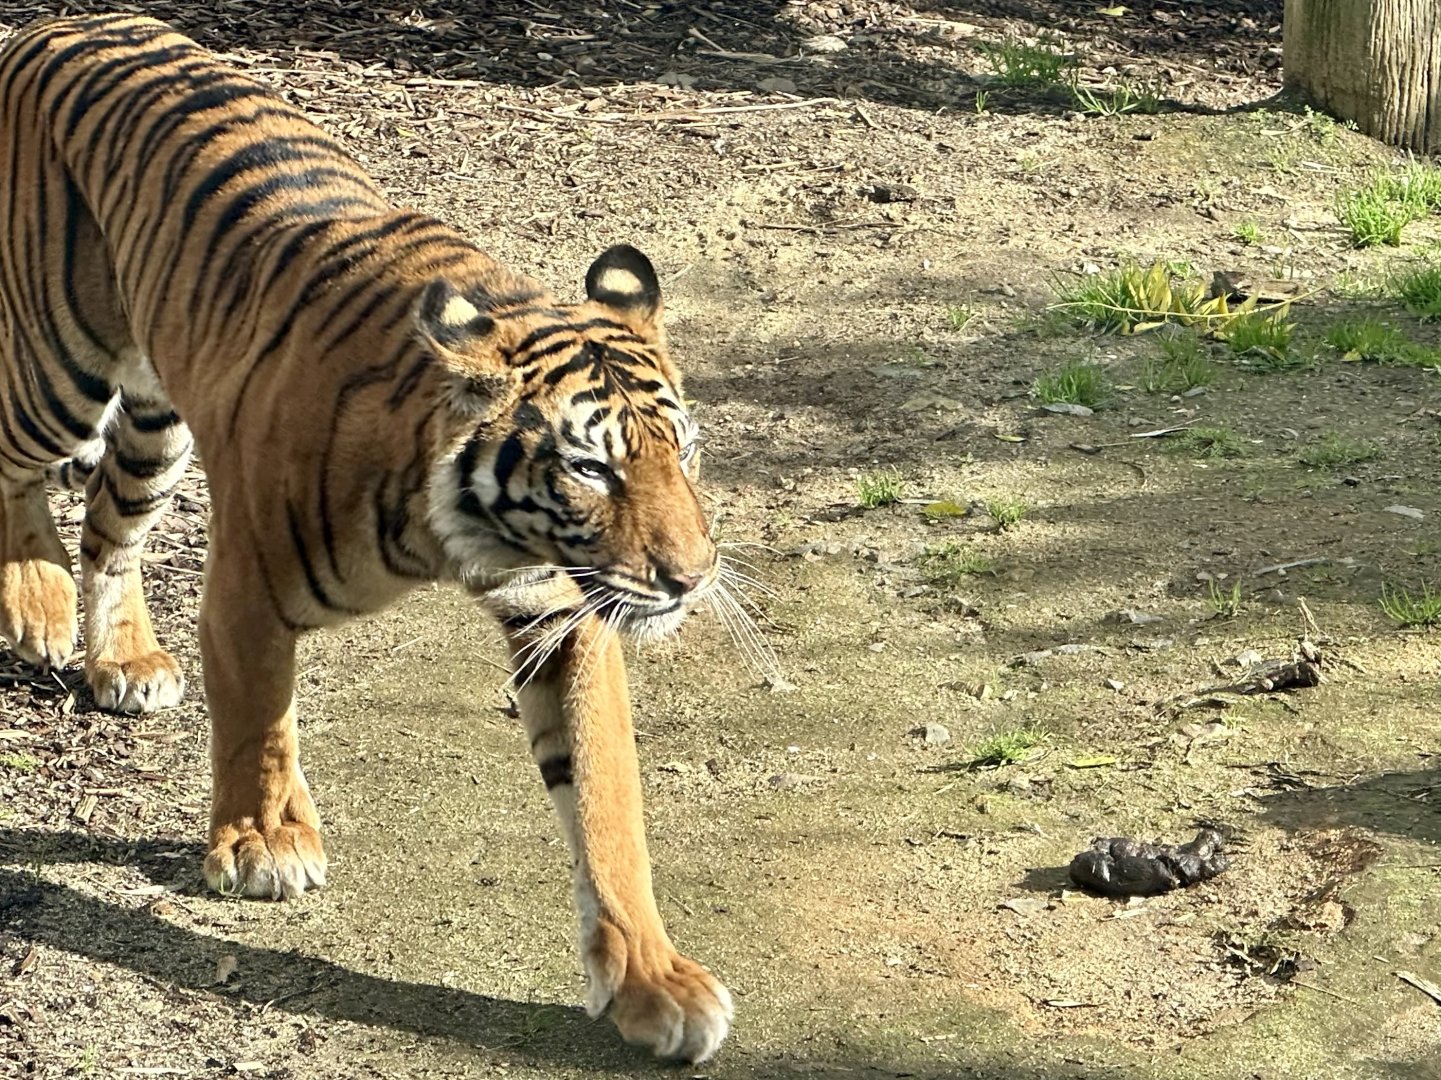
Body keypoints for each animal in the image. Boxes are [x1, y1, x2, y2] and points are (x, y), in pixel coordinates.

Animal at [0, 13, 732, 1063]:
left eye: (687, 453)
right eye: (592, 469)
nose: (690, 579)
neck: (467, 532)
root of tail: (59, 21)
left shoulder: (564, 617)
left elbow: (604, 799)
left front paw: (652, 983)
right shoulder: (249, 589)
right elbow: (259, 722)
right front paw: (263, 845)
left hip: (155, 422)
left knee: (111, 524)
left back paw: (126, 660)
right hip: (59, 371)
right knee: (14, 461)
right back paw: (35, 599)